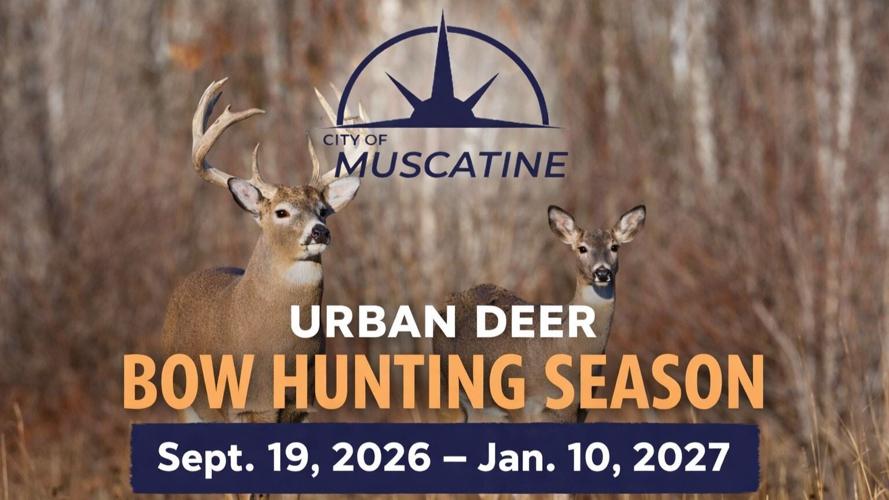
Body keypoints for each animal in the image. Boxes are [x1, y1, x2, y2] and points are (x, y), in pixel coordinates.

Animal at [161, 79, 368, 424]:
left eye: (323, 210)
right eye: (281, 212)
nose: (320, 231)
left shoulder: (302, 406)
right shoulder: (244, 406)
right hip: (184, 400)